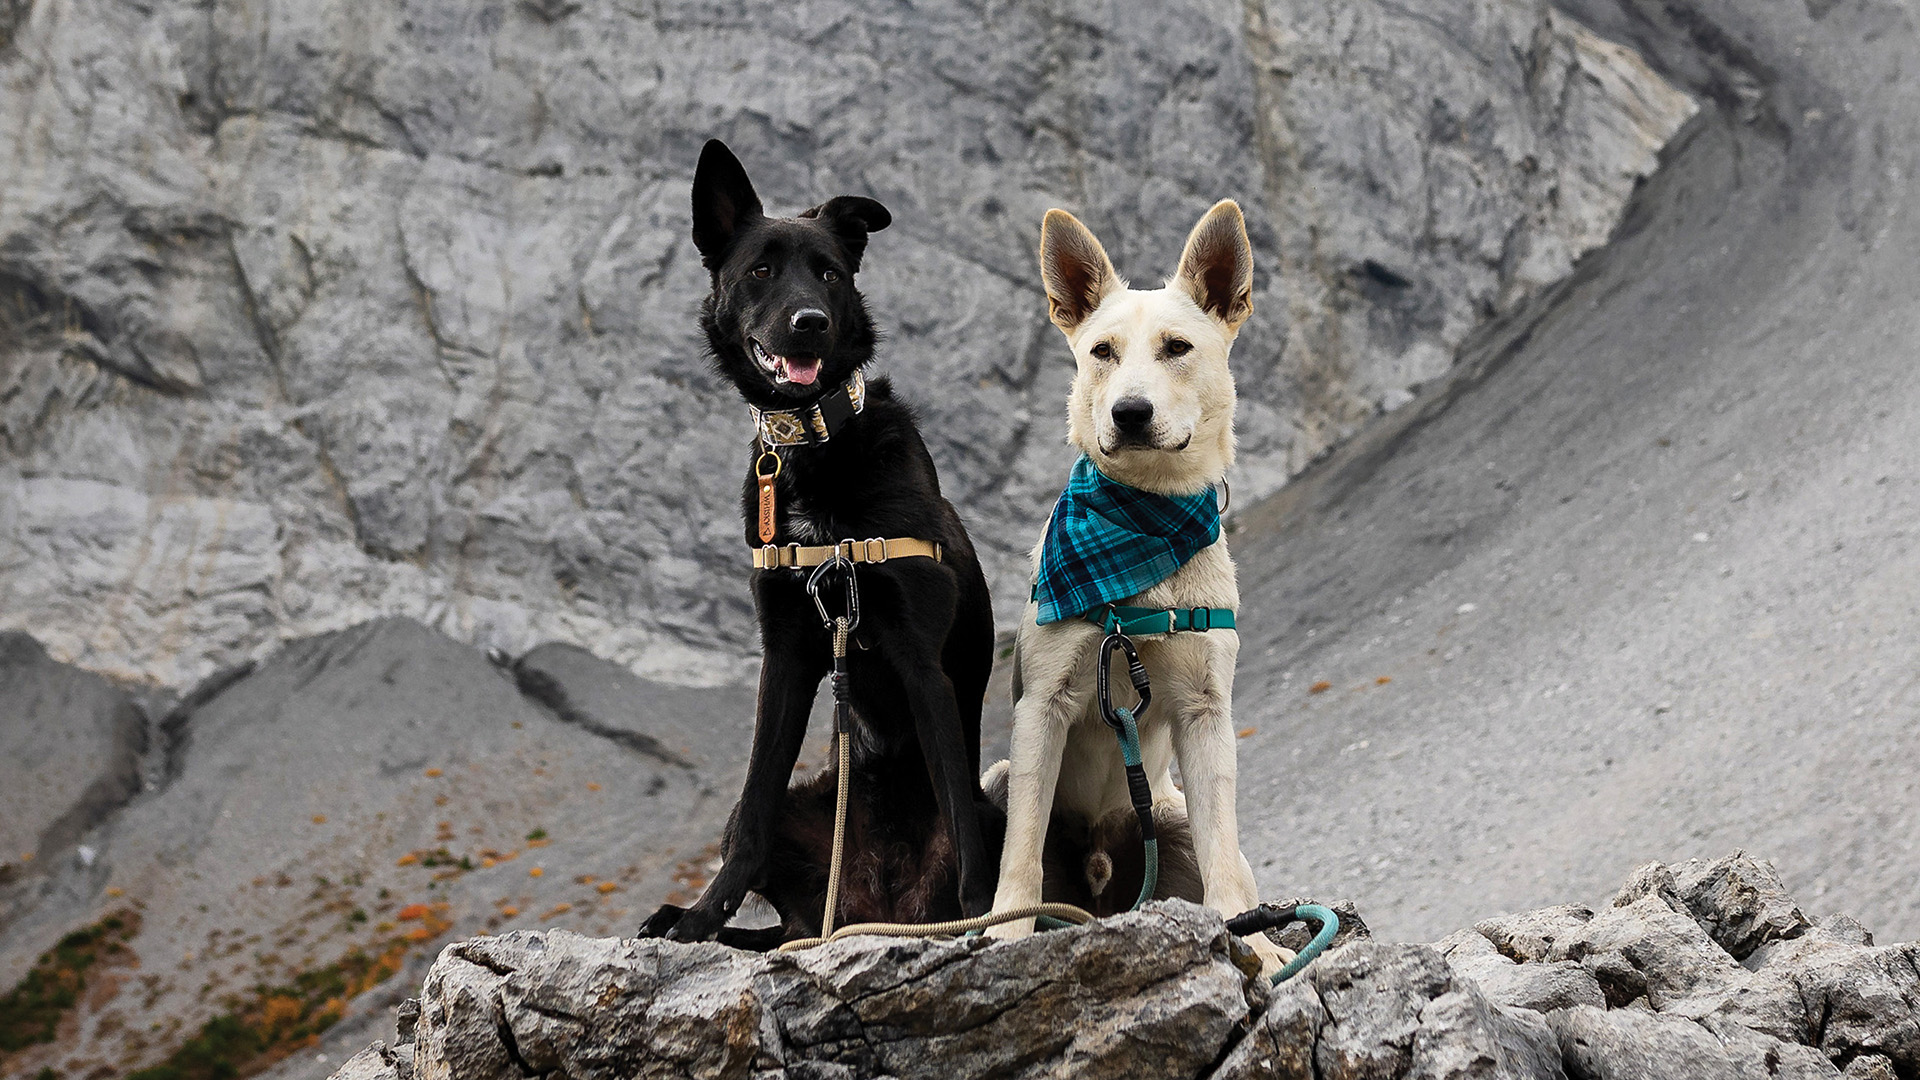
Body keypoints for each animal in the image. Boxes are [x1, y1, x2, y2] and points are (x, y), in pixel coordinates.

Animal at [637, 140, 999, 947]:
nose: (808, 323)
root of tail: (872, 907)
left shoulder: (921, 659)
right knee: (784, 910)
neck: (814, 447)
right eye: (760, 272)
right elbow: (755, 803)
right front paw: (701, 917)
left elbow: (961, 821)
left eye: (829, 273)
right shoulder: (787, 653)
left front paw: (984, 917)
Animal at [985, 200, 1288, 972]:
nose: (1129, 412)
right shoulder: (1042, 708)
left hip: (1170, 812)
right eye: (1102, 352)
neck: (1143, 530)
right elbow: (1020, 854)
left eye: (1177, 347)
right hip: (995, 780)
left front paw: (1251, 941)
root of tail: (1102, 888)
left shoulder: (1207, 713)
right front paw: (1004, 938)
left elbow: (1222, 855)